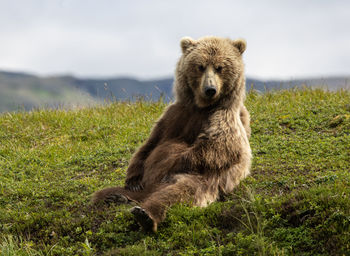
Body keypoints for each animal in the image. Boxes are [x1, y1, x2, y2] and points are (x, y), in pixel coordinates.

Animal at [92, 36, 252, 232]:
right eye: (200, 66)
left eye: (220, 67)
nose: (210, 89)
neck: (202, 107)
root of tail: (149, 190)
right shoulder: (177, 115)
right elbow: (151, 143)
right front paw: (133, 178)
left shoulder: (223, 118)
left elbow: (219, 147)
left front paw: (172, 166)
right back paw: (117, 197)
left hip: (205, 180)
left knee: (181, 191)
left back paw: (145, 215)